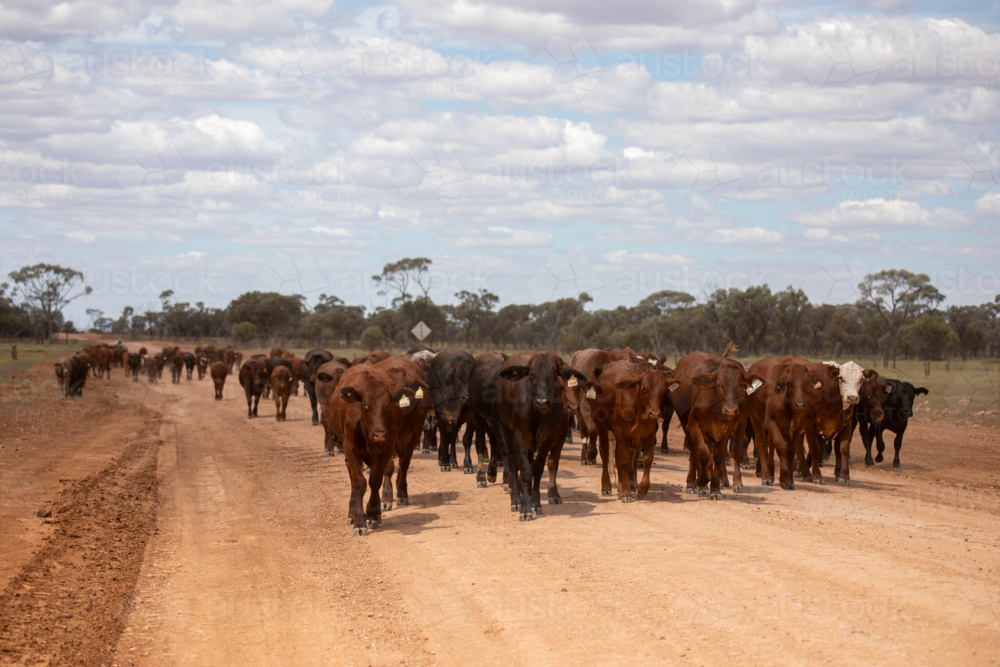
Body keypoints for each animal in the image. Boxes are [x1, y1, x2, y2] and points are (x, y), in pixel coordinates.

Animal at [327, 364, 415, 535]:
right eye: (365, 404)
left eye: (388, 405)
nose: (379, 433)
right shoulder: (350, 450)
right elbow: (358, 484)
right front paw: (359, 521)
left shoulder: (387, 449)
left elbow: (375, 480)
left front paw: (372, 515)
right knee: (353, 481)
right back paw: (351, 513)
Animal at [496, 351, 589, 520]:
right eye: (531, 375)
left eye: (554, 375)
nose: (542, 402)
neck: (537, 414)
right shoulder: (519, 437)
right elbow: (525, 470)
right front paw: (525, 508)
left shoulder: (550, 438)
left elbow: (539, 468)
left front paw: (535, 504)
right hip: (506, 430)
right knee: (513, 464)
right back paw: (516, 499)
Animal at [592, 359, 675, 502]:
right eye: (644, 389)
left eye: (664, 390)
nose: (654, 413)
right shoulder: (620, 431)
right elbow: (625, 460)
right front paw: (626, 492)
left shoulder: (649, 434)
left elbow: (647, 459)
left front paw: (641, 489)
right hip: (602, 426)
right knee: (605, 453)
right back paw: (607, 486)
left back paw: (619, 489)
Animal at [670, 345, 762, 498]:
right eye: (719, 385)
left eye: (740, 385)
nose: (731, 410)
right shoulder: (694, 425)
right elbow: (703, 453)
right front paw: (702, 483)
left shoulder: (729, 427)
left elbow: (720, 455)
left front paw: (716, 488)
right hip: (685, 423)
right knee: (694, 450)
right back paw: (692, 484)